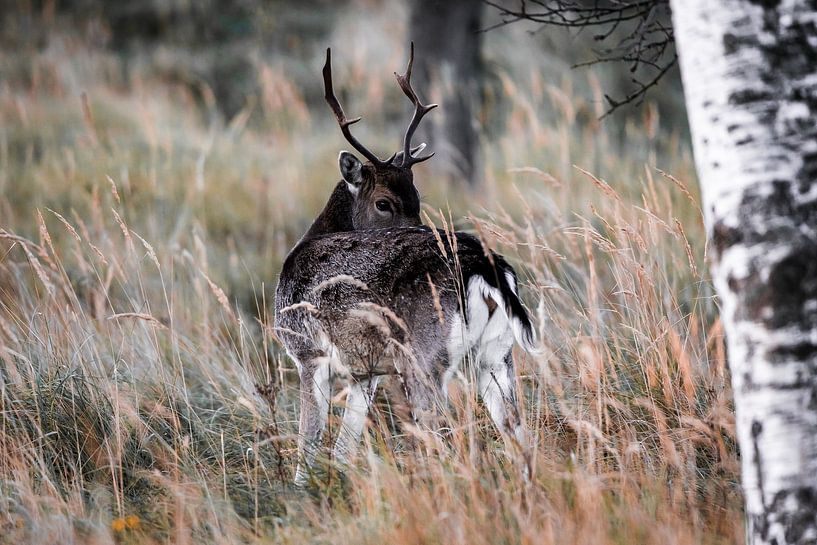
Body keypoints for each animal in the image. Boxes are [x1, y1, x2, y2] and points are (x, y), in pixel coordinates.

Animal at [274, 43, 532, 484]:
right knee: (517, 431)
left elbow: (308, 444)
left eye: (415, 200)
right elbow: (344, 448)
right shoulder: (366, 372)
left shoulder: (308, 352)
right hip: (497, 353)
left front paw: (301, 493)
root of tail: (485, 267)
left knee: (441, 433)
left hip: (425, 355)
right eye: (387, 202)